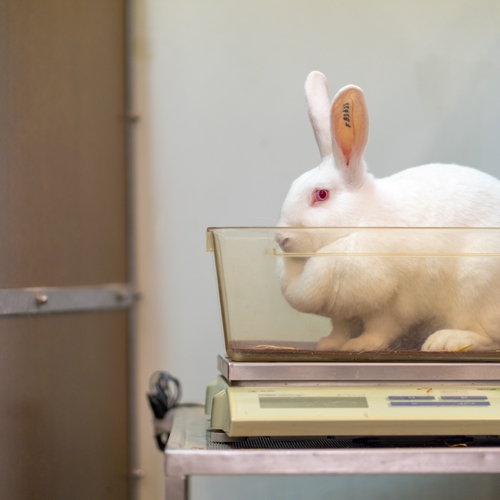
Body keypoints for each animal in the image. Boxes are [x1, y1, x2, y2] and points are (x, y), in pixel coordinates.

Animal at [276, 71, 500, 352]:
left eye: (321, 195)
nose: (281, 238)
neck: (359, 224)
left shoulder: (393, 305)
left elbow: (381, 329)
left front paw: (359, 345)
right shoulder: (342, 313)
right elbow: (340, 328)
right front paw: (329, 345)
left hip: (475, 290)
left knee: (487, 338)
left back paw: (444, 341)